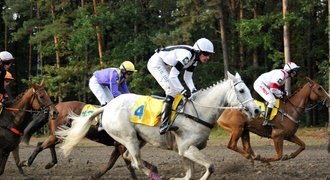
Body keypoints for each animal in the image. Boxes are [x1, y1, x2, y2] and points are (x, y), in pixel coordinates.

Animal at [20, 100, 156, 179]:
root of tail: (55, 108)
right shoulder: (121, 145)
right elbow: (129, 165)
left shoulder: (118, 146)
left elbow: (111, 164)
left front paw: (95, 175)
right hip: (59, 134)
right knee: (40, 145)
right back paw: (27, 162)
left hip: (60, 134)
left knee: (45, 144)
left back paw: (50, 163)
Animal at [57, 71, 260, 180]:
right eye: (242, 90)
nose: (256, 110)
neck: (198, 111)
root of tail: (106, 107)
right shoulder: (187, 147)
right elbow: (210, 167)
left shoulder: (184, 150)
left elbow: (189, 174)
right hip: (128, 137)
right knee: (136, 162)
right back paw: (154, 174)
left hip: (139, 139)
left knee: (129, 157)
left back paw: (154, 169)